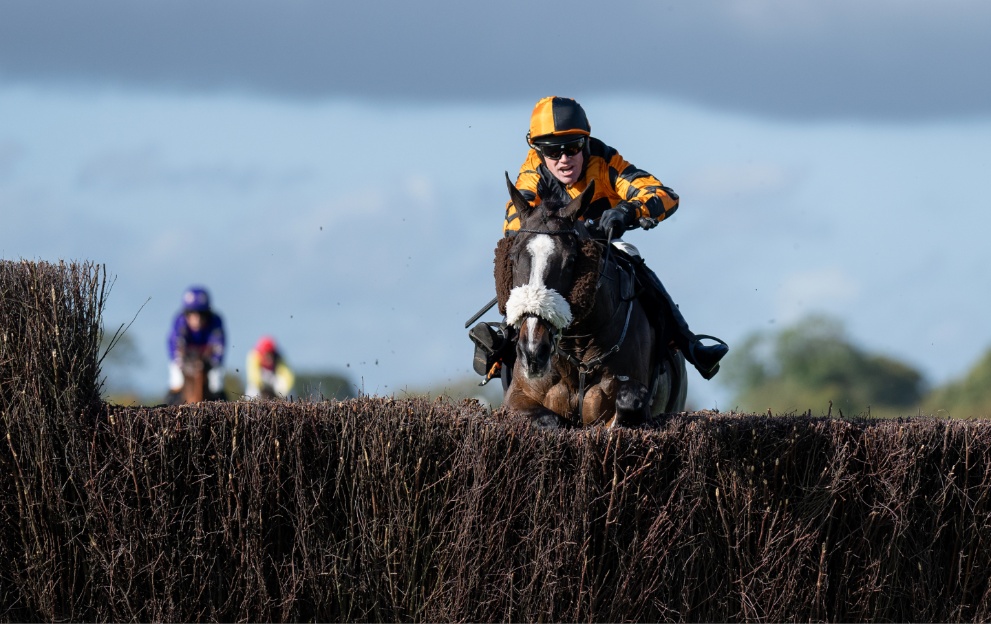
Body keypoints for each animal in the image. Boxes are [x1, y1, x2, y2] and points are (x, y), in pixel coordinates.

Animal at [496, 176, 688, 428]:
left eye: (571, 260)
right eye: (513, 256)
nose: (532, 352)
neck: (578, 353)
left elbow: (628, 402)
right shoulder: (516, 398)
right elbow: (548, 418)